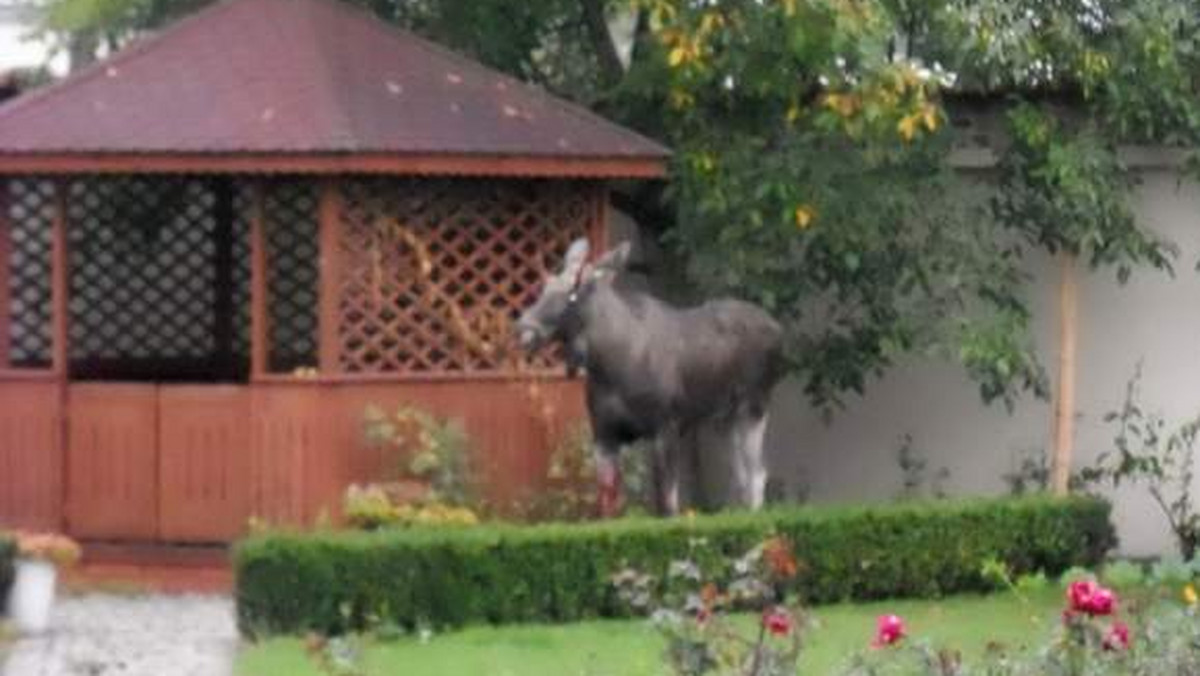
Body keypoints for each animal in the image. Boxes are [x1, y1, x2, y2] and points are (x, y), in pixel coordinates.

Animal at [518, 240, 787, 516]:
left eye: (573, 294)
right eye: (545, 287)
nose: (525, 329)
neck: (608, 366)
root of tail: (780, 332)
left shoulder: (666, 427)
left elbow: (667, 505)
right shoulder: (603, 435)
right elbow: (609, 507)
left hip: (754, 406)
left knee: (757, 474)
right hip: (724, 419)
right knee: (741, 476)